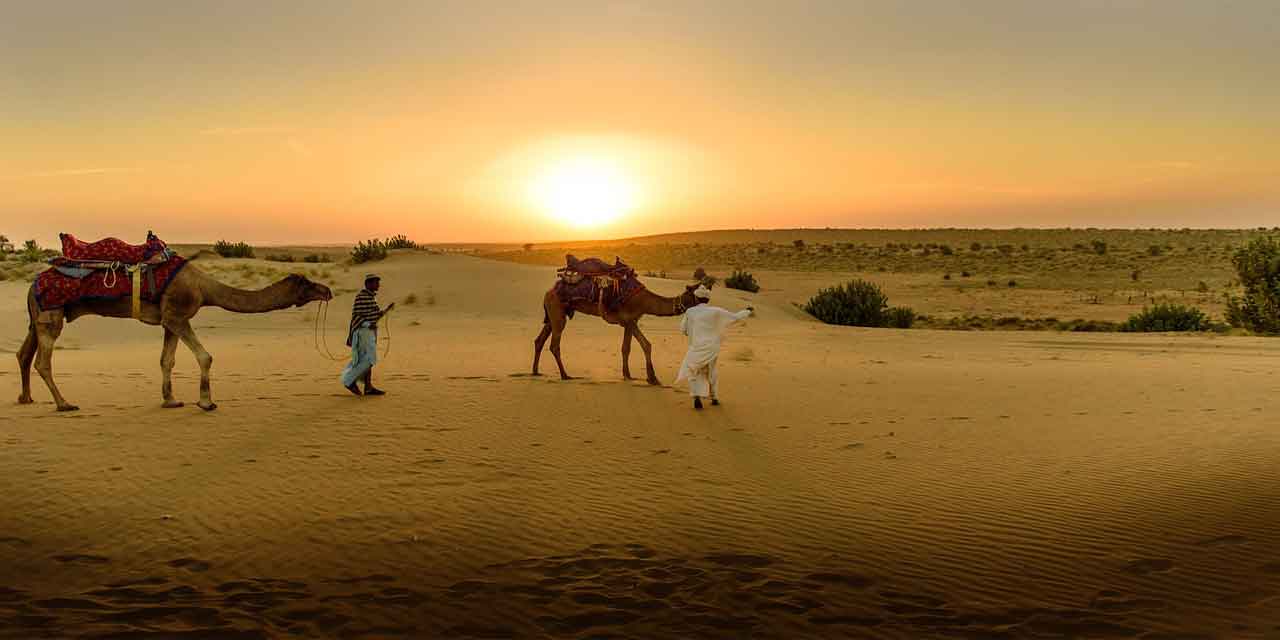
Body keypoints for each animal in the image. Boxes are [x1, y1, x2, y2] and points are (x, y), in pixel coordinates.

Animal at [16, 266, 330, 412]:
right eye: (306, 284)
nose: (327, 290)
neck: (204, 287)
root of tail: (31, 285)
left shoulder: (169, 320)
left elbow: (166, 360)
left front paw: (170, 400)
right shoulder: (178, 316)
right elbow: (205, 356)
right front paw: (206, 402)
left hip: (36, 318)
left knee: (24, 354)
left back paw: (26, 398)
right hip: (51, 315)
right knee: (42, 361)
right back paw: (64, 404)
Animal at [535, 281, 706, 381]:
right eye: (695, 293)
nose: (706, 299)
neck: (646, 301)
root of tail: (547, 293)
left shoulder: (630, 322)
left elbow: (635, 346)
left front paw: (634, 375)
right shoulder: (629, 319)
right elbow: (637, 346)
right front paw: (648, 377)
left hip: (553, 315)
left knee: (539, 340)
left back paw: (535, 372)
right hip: (558, 313)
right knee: (554, 345)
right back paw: (565, 375)